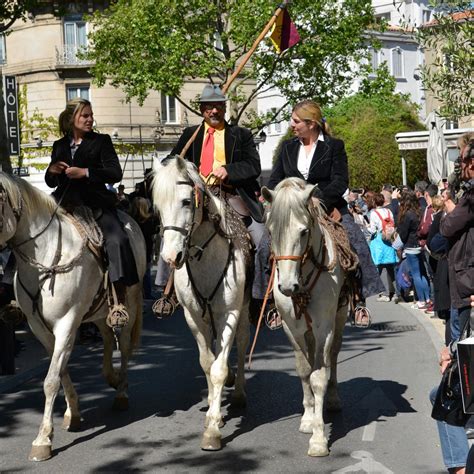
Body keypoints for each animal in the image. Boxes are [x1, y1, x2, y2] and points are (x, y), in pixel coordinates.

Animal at [0, 172, 146, 462]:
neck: (45, 255)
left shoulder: (66, 323)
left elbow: (51, 380)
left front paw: (43, 439)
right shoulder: (41, 328)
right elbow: (61, 371)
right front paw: (73, 413)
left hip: (131, 303)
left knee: (123, 346)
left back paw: (121, 392)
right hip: (98, 311)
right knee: (107, 337)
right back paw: (110, 378)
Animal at [153, 156, 250, 452]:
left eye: (186, 201)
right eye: (157, 206)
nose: (170, 256)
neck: (204, 256)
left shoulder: (229, 312)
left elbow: (219, 368)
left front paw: (212, 433)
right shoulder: (194, 316)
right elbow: (207, 362)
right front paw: (213, 415)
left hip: (243, 310)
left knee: (241, 343)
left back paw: (238, 392)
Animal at [262, 178, 348, 456]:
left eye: (303, 231)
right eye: (271, 231)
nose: (287, 286)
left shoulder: (324, 327)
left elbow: (319, 376)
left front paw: (319, 439)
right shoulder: (292, 328)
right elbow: (303, 370)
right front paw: (309, 418)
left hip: (340, 319)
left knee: (333, 357)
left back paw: (333, 399)